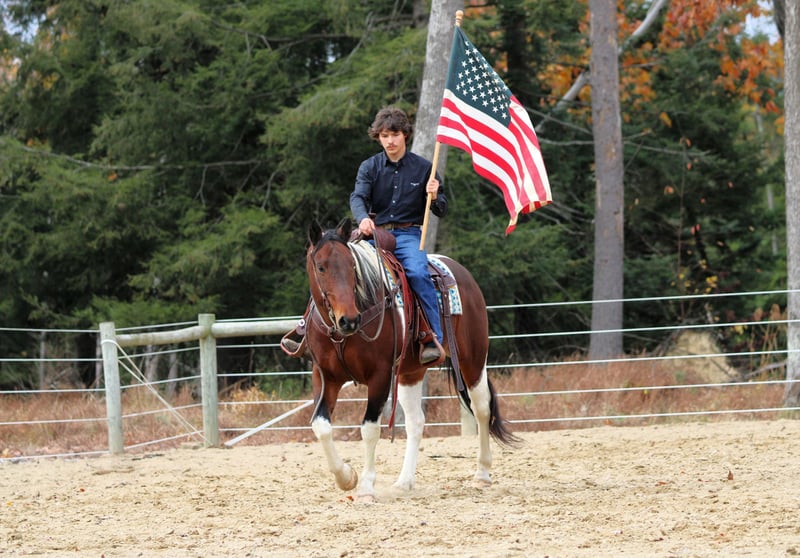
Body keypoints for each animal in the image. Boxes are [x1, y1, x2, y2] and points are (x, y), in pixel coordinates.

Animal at [302, 218, 517, 499]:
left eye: (352, 266)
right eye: (321, 267)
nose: (348, 320)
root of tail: (460, 271)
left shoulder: (380, 375)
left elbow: (369, 429)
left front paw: (366, 487)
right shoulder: (326, 376)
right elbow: (321, 426)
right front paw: (346, 477)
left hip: (473, 361)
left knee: (482, 409)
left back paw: (482, 474)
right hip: (410, 373)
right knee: (416, 421)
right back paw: (404, 482)